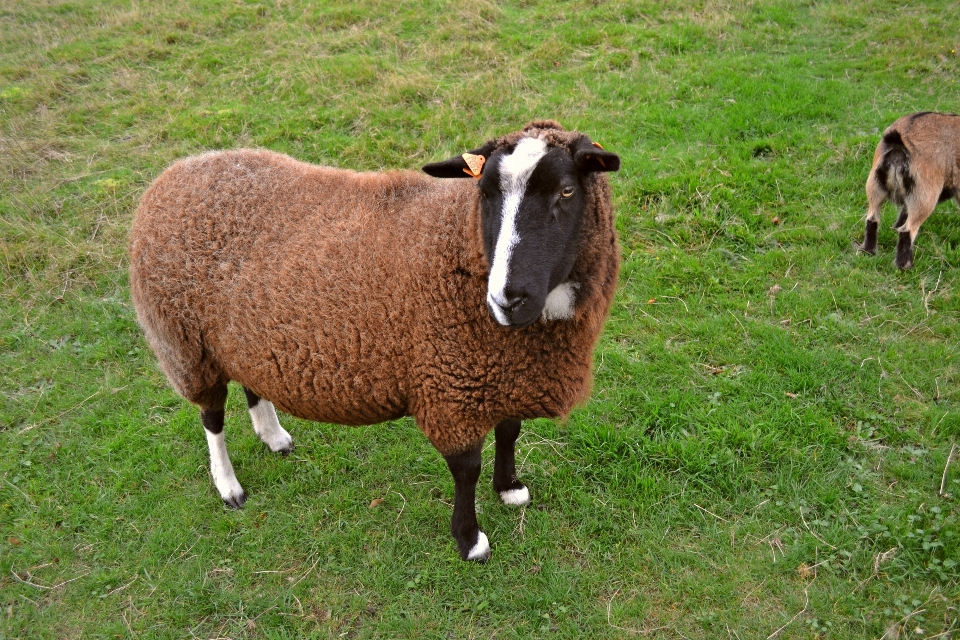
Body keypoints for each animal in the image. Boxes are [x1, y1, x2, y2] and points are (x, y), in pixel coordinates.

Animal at [127, 120, 624, 560]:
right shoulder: (449, 385)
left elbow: (509, 430)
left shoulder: (503, 373)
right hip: (186, 344)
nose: (508, 298)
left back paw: (273, 436)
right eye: (484, 194)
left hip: (246, 338)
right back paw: (229, 486)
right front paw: (470, 540)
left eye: (566, 191)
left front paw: (510, 489)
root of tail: (174, 174)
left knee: (252, 383)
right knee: (211, 418)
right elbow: (467, 469)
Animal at [864, 112, 960, 268]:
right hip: (924, 196)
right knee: (907, 230)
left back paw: (868, 251)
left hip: (875, 186)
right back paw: (904, 266)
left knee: (872, 219)